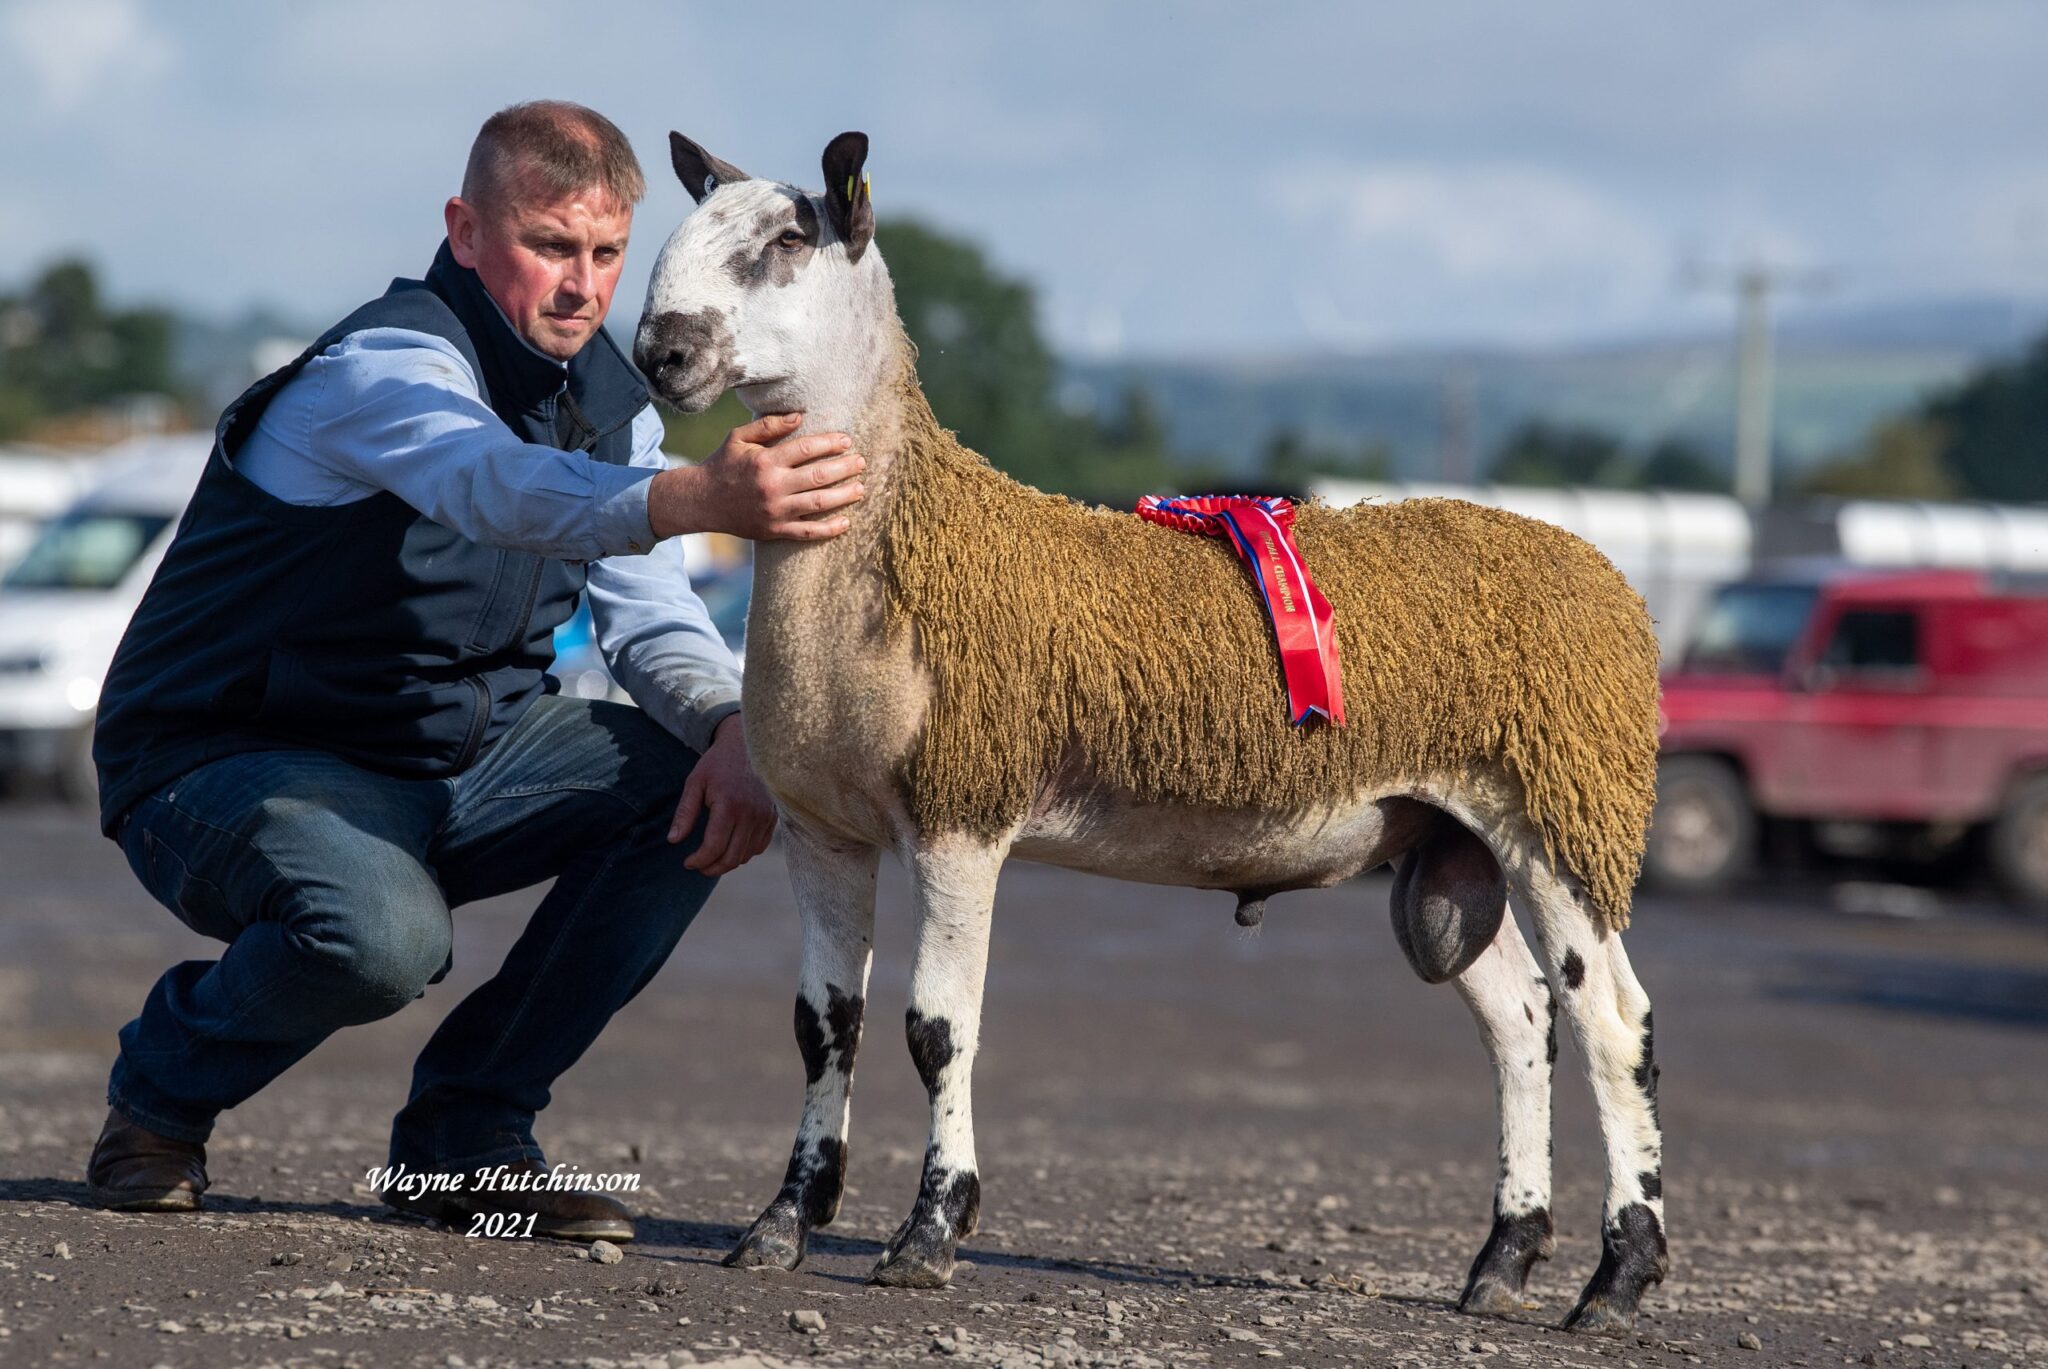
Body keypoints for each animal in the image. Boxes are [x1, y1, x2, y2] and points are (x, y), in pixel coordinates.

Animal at [634, 133, 1662, 1328]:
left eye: (790, 239)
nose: (659, 350)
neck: (894, 552)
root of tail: (1606, 579)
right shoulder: (820, 827)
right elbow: (823, 1025)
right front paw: (781, 1224)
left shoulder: (961, 809)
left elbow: (936, 1029)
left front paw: (930, 1233)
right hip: (1451, 840)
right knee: (1521, 1023)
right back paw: (1502, 1261)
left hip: (1562, 807)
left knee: (1612, 1024)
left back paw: (1619, 1276)